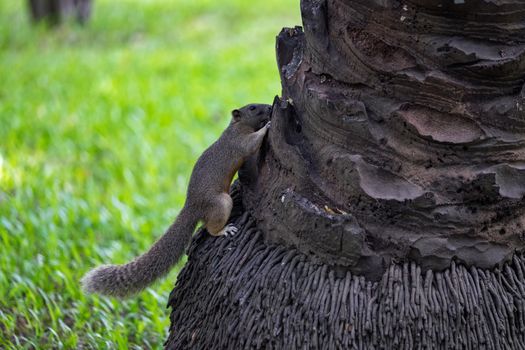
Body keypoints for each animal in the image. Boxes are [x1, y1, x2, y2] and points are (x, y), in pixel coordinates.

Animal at [82, 102, 272, 296]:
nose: (270, 107)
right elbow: (252, 143)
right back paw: (223, 230)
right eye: (252, 108)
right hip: (222, 202)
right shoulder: (239, 143)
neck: (236, 127)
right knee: (211, 227)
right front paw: (267, 126)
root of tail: (192, 207)